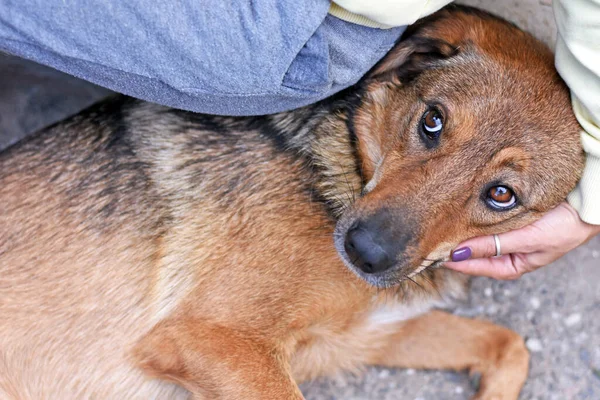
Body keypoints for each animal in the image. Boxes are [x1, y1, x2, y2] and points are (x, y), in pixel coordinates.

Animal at [0, 6, 580, 400]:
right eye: (431, 121)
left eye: (501, 195)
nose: (363, 252)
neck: (343, 167)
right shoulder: (211, 337)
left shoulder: (361, 337)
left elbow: (511, 345)